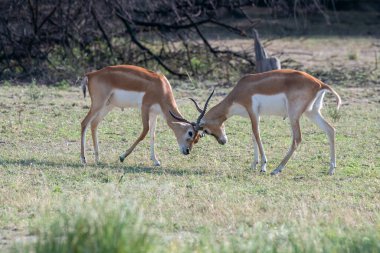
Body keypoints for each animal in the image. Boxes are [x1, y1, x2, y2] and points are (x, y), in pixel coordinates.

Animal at [79, 64, 209, 165]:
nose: (187, 151)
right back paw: (84, 159)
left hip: (108, 105)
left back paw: (97, 159)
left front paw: (155, 161)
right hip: (98, 103)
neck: (161, 87)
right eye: (190, 132)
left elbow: (153, 135)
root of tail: (91, 75)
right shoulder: (144, 107)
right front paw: (122, 157)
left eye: (197, 139)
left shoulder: (154, 113)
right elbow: (144, 132)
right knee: (84, 122)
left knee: (94, 123)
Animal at [184, 69, 342, 176]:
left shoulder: (252, 111)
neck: (241, 89)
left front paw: (263, 166)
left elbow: (257, 134)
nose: (223, 141)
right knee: (330, 130)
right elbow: (253, 136)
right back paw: (331, 169)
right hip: (312, 112)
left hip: (294, 115)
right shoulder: (256, 115)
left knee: (297, 138)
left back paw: (277, 169)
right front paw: (254, 165)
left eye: (206, 130)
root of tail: (320, 83)